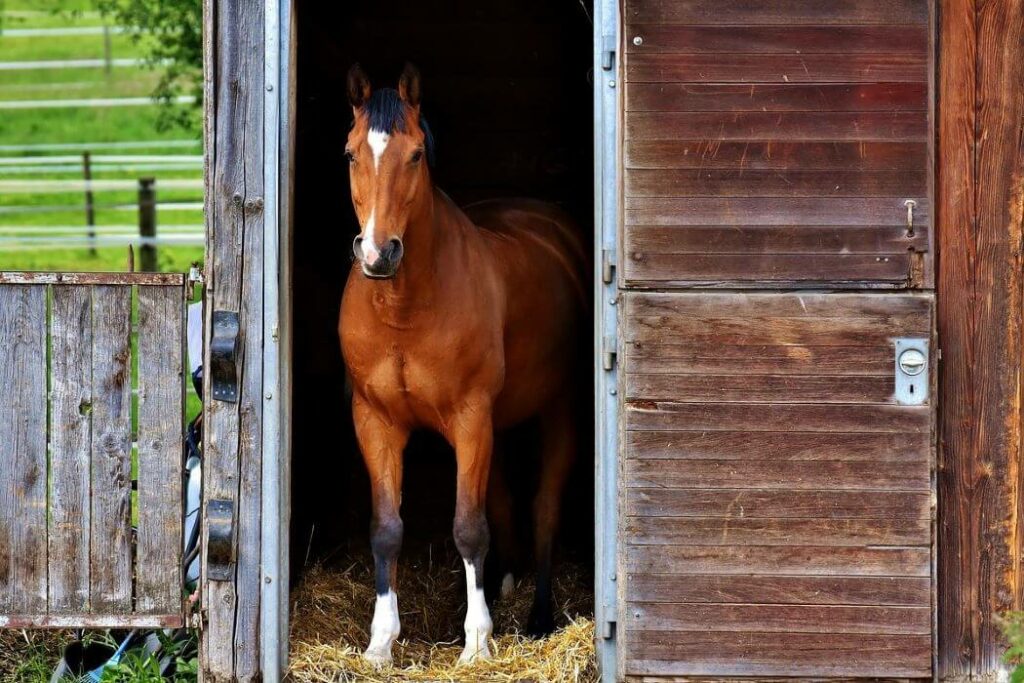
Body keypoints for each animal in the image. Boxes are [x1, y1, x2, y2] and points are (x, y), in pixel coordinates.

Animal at [337, 62, 585, 663]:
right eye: (351, 153)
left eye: (415, 155)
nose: (378, 254)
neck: (404, 308)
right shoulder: (375, 421)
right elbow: (386, 528)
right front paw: (381, 642)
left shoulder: (472, 419)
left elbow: (469, 528)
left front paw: (476, 643)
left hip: (557, 411)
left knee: (544, 507)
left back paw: (538, 616)